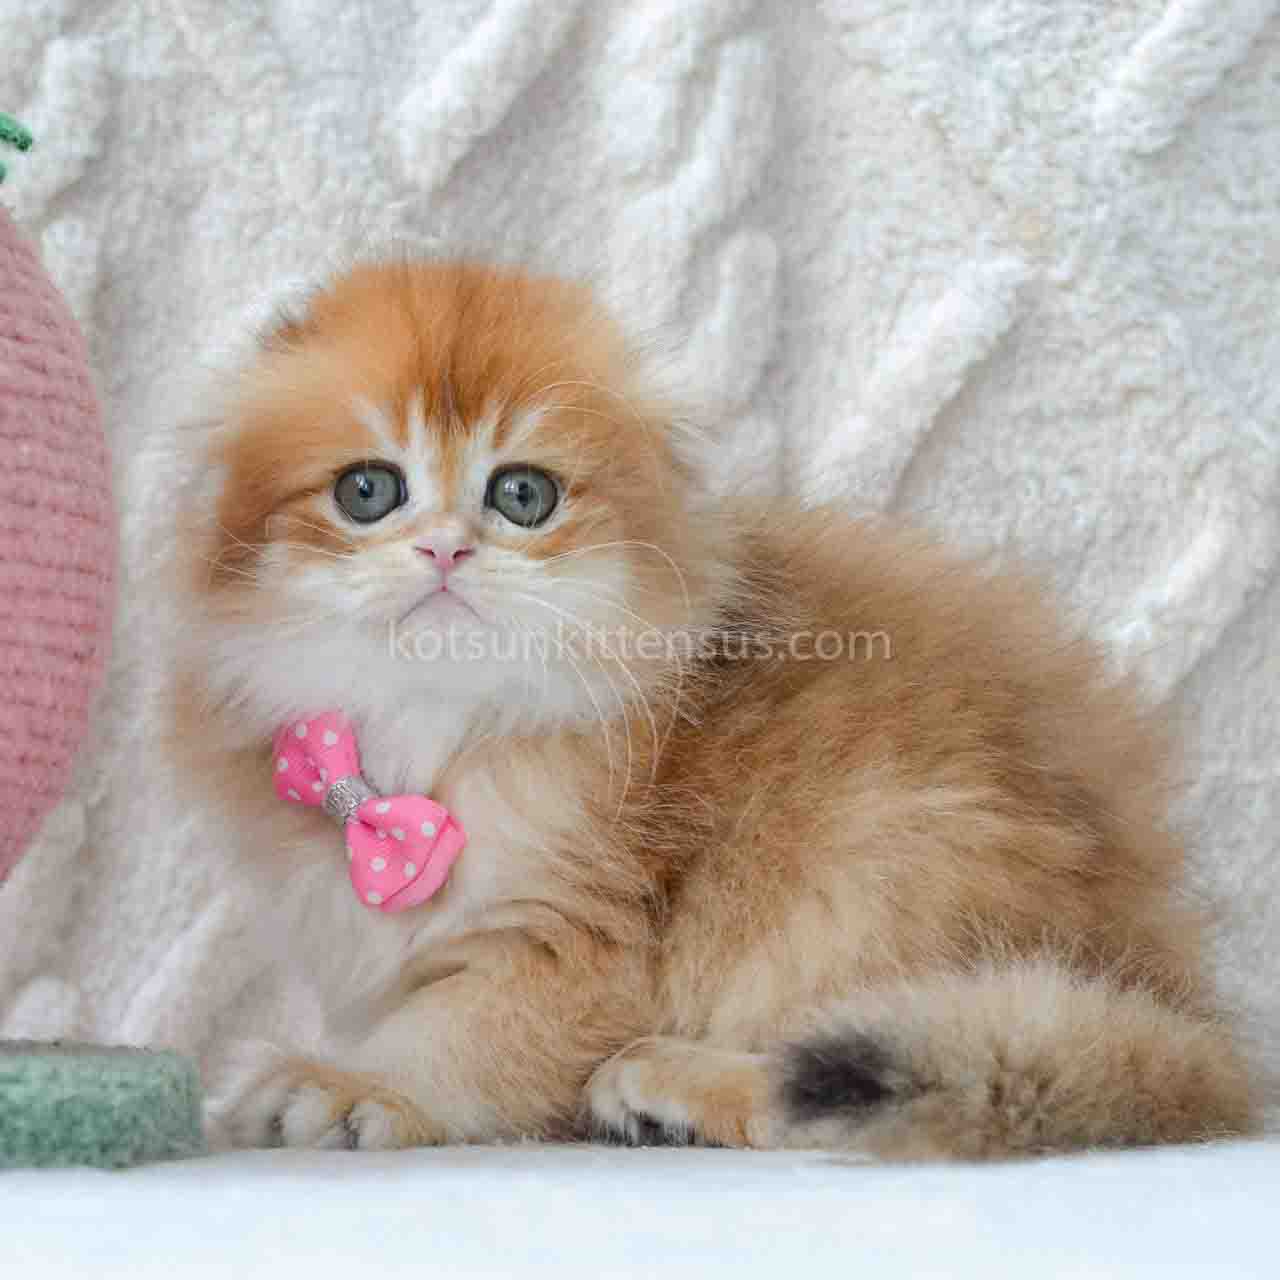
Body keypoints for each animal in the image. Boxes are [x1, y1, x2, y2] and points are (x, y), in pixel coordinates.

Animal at [176, 258, 1255, 1157]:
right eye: (368, 490)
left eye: (522, 495)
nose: (447, 548)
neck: (440, 730)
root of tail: (1178, 1005)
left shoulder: (579, 942)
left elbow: (463, 1037)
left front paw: (347, 1083)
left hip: (877, 865)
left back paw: (675, 1088)